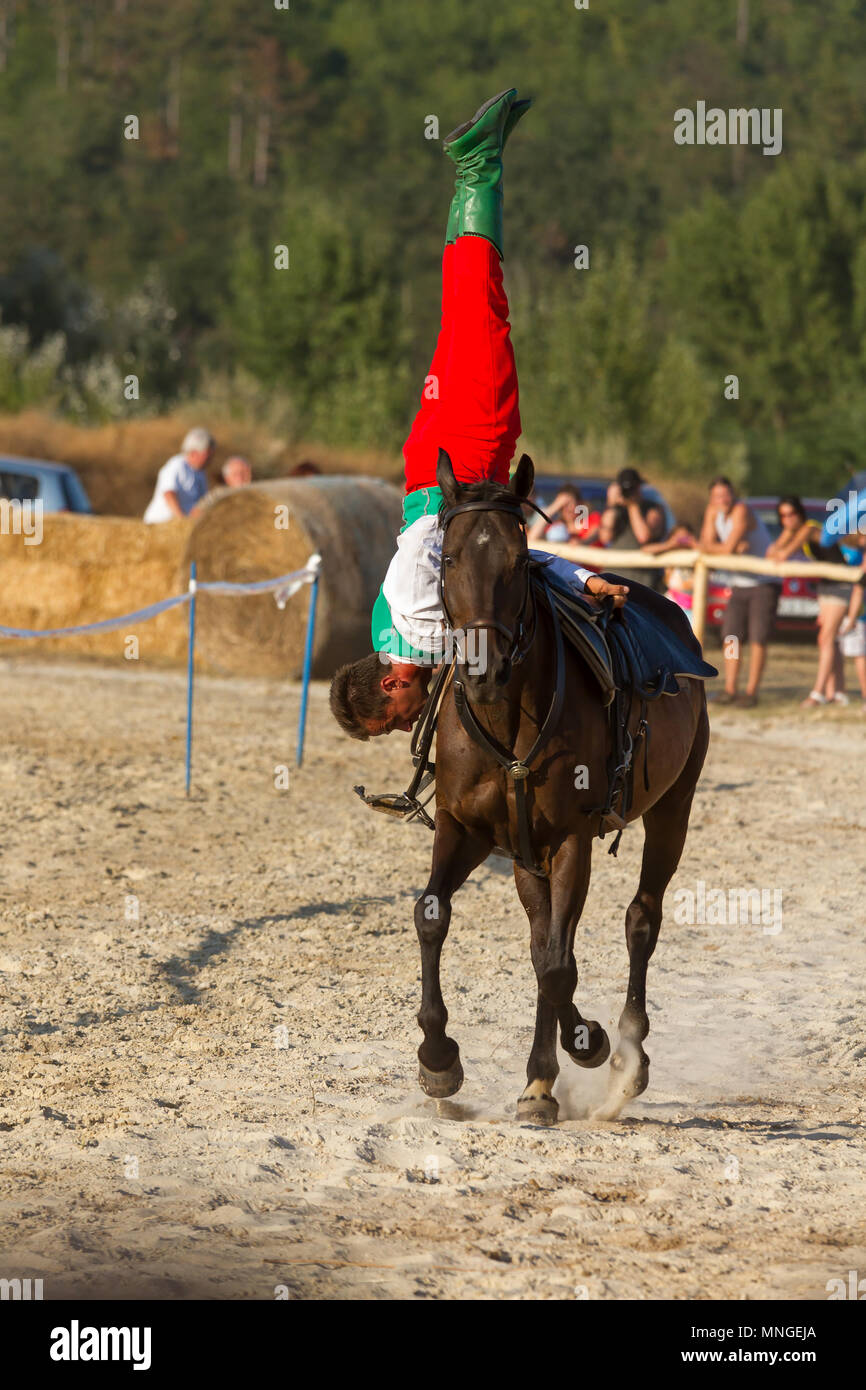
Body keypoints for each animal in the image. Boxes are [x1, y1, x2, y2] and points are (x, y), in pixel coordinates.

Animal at [414, 450, 711, 1123]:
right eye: (449, 558)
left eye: (519, 560)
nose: (483, 667)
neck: (505, 715)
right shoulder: (469, 830)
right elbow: (434, 916)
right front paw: (439, 1059)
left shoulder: (571, 839)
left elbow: (556, 967)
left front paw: (560, 1065)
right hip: (529, 854)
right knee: (545, 938)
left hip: (673, 809)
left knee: (640, 919)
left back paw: (627, 1056)